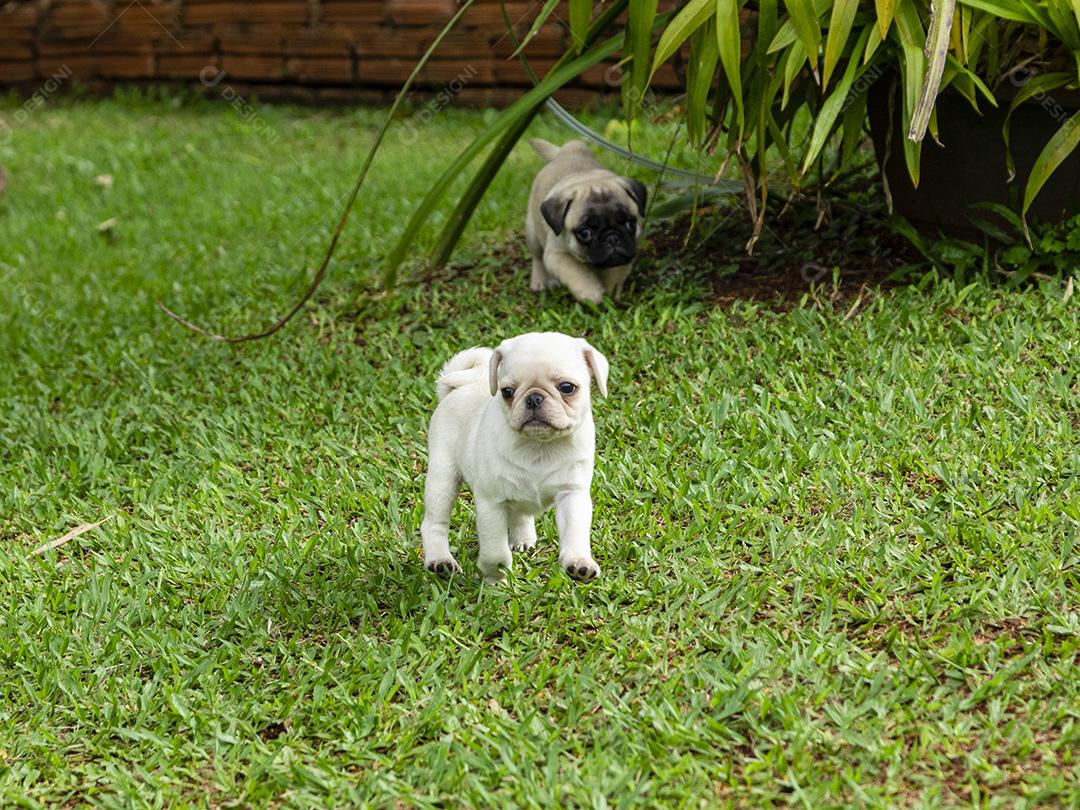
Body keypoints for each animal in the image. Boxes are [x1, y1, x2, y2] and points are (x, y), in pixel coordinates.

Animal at [419, 330, 609, 583]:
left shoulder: (572, 494)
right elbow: (495, 550)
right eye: (507, 392)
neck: (539, 445)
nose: (534, 398)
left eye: (567, 387)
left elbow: (575, 532)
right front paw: (495, 575)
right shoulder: (492, 503)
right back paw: (440, 561)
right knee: (435, 522)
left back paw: (522, 539)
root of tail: (455, 389)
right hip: (443, 479)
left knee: (520, 512)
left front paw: (579, 563)